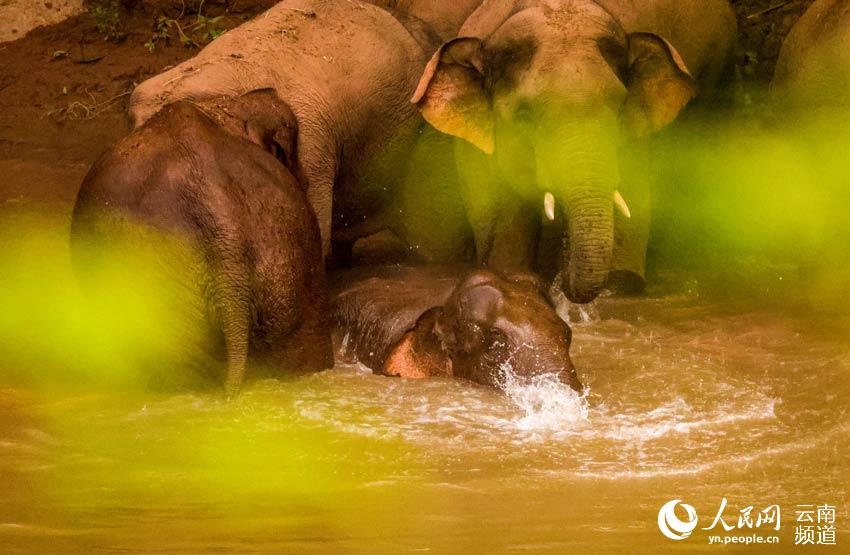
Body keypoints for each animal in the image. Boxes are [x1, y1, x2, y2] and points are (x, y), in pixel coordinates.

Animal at [410, 0, 736, 304]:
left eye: (620, 107)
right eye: (524, 115)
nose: (560, 279)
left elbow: (635, 198)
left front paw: (618, 287)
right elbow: (499, 221)